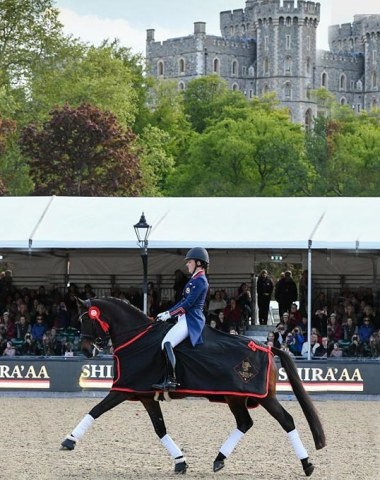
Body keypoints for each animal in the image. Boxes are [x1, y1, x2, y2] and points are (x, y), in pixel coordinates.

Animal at [60, 298, 326, 474]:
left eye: (87, 320)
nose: (87, 350)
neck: (137, 338)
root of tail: (267, 347)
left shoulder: (123, 389)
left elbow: (96, 410)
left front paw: (69, 440)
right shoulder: (145, 395)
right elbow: (160, 429)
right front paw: (180, 461)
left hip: (262, 396)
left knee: (286, 421)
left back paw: (307, 464)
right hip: (236, 398)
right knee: (245, 423)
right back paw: (219, 459)